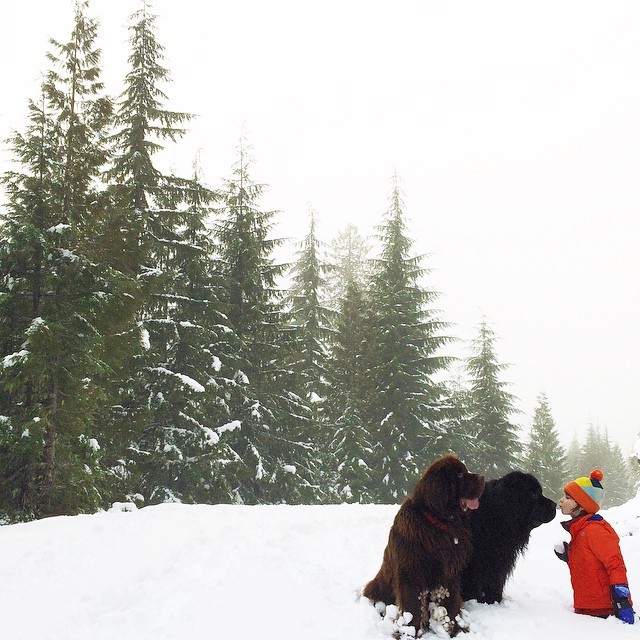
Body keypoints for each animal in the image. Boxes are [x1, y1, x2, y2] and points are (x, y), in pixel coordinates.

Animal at [362, 456, 482, 636]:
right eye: (460, 475)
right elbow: (412, 606)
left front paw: (456, 629)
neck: (437, 523)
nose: (482, 477)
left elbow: (450, 603)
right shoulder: (411, 572)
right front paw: (409, 632)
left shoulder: (448, 574)